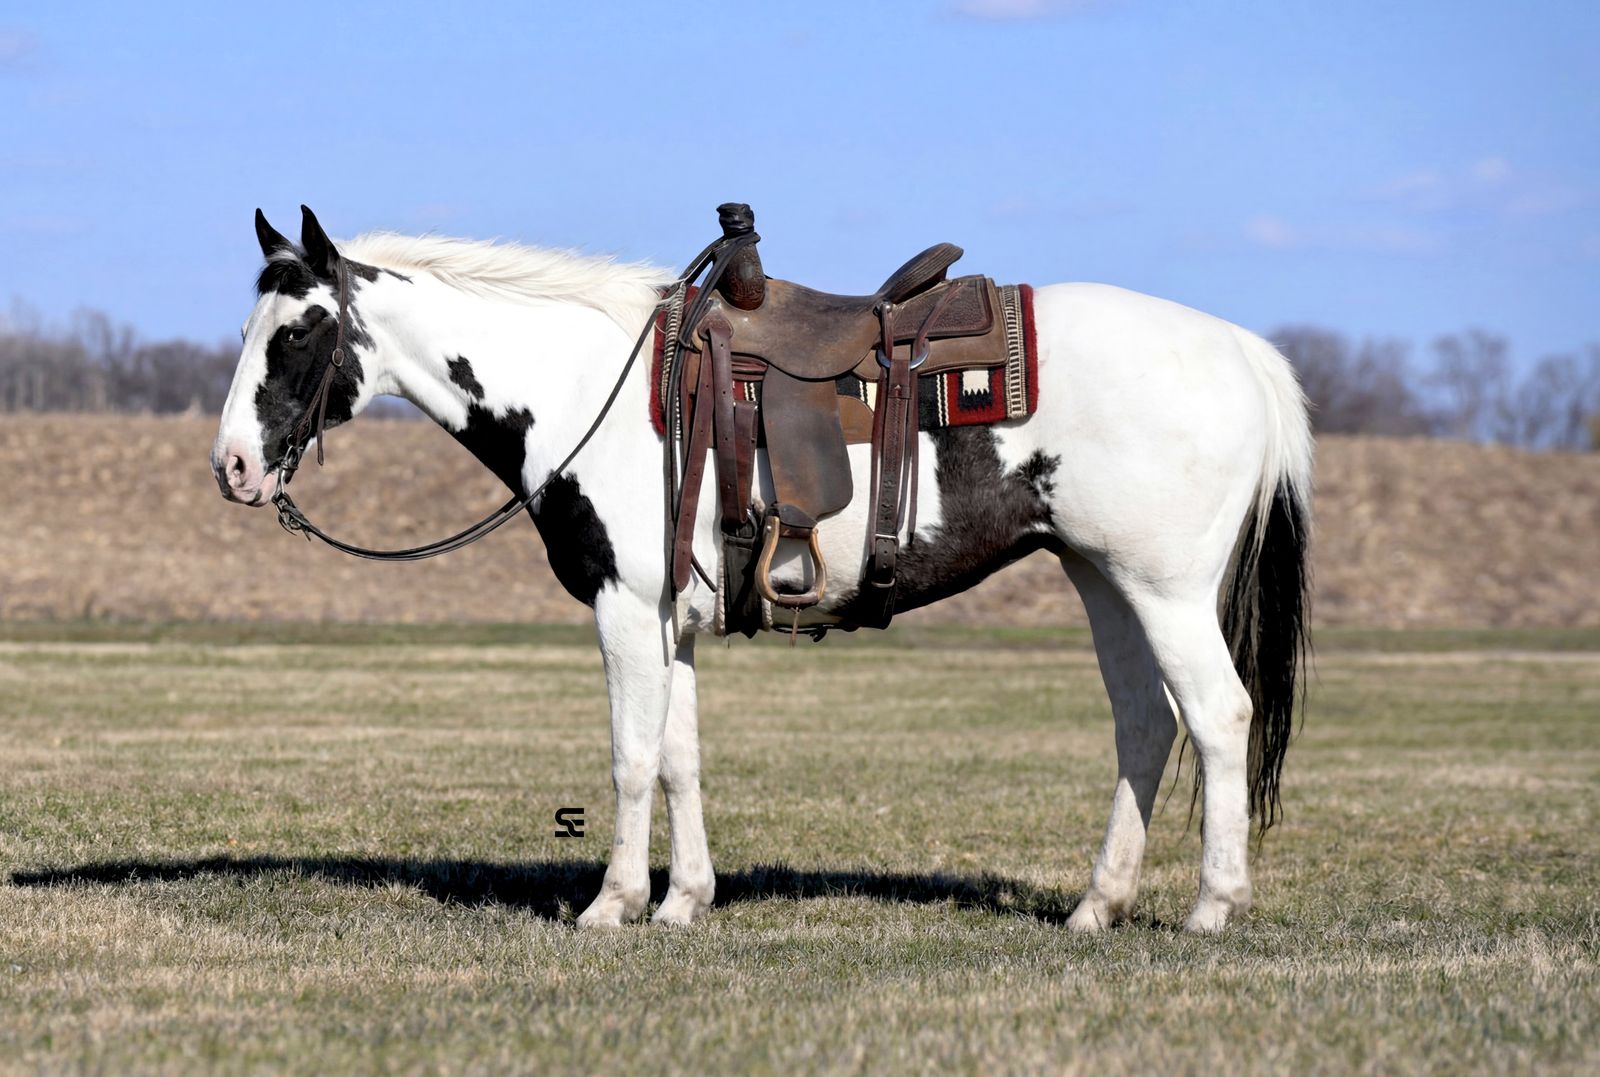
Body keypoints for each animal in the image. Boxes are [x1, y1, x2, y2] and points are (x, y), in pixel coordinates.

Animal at [213, 205, 1312, 933]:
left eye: (301, 330)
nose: (230, 468)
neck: (591, 388)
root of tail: (1241, 352)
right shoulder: (670, 621)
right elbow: (681, 756)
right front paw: (684, 901)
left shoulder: (624, 608)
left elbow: (631, 755)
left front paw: (611, 905)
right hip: (1103, 579)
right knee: (1146, 724)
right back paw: (1096, 906)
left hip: (1164, 590)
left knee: (1217, 716)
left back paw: (1212, 908)